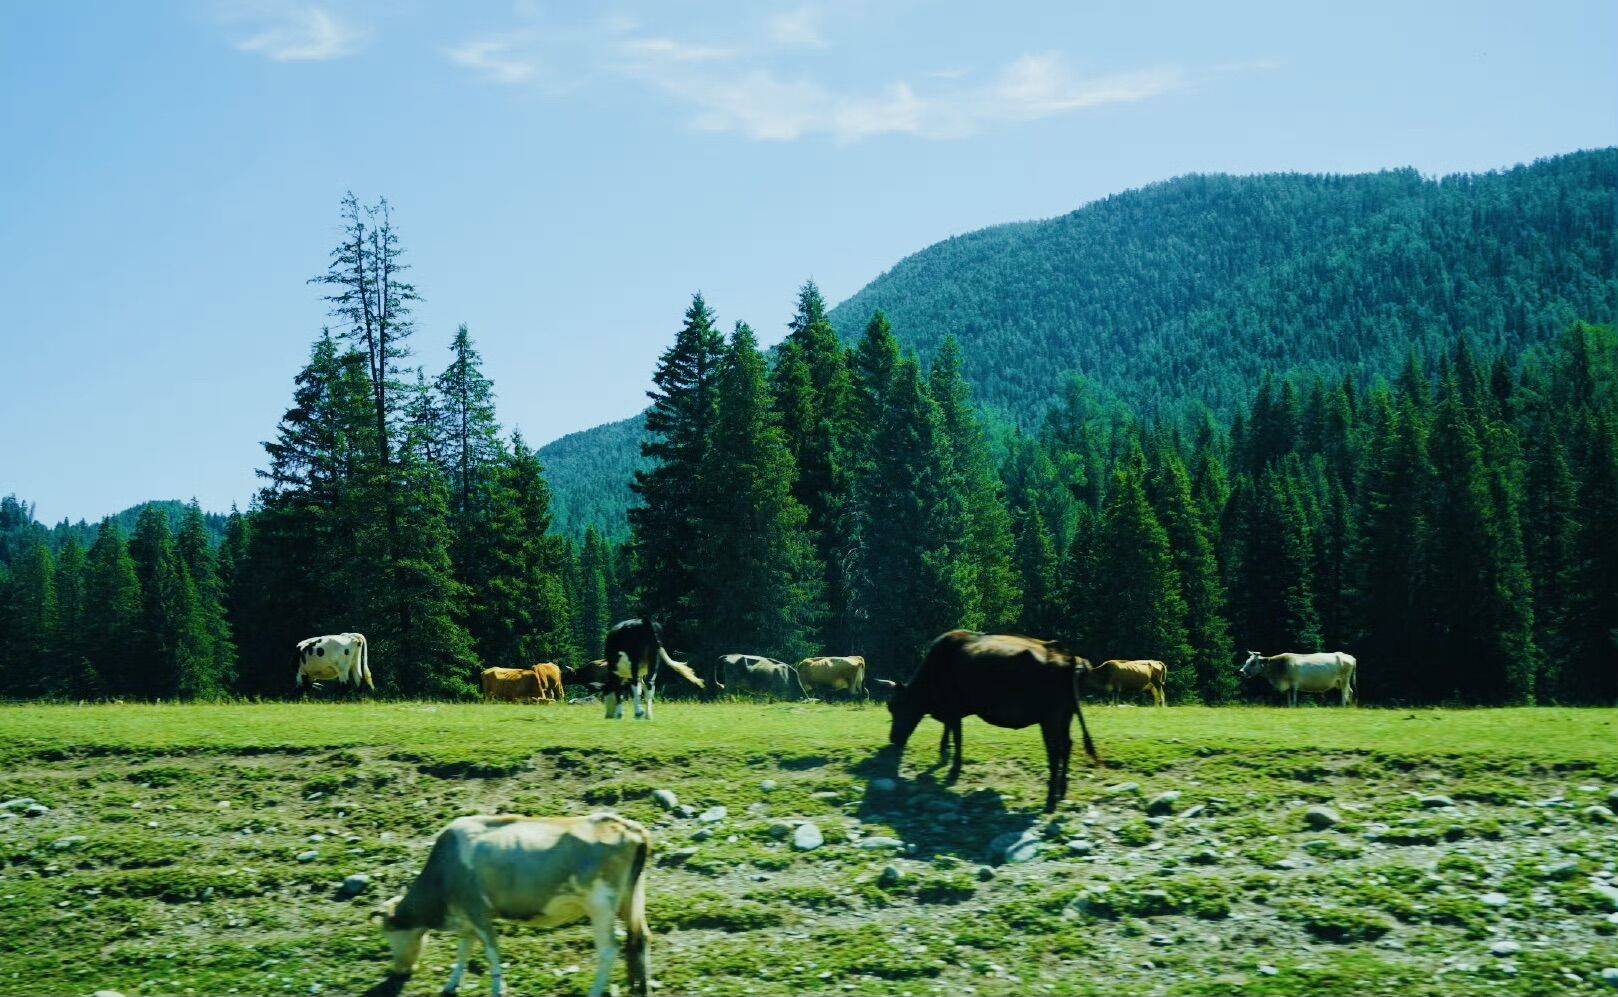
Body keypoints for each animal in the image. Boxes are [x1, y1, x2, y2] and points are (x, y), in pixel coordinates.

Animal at [378, 809, 650, 997]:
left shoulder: (478, 912)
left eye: (390, 937)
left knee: (609, 950)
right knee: (641, 939)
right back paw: (642, 987)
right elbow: (463, 951)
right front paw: (451, 984)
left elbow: (491, 952)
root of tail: (625, 826)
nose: (399, 971)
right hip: (631, 898)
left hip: (600, 905)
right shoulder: (467, 921)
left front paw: (498, 988)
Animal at [886, 634, 1100, 812]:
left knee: (1055, 753)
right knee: (1067, 746)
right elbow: (949, 731)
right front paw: (943, 750)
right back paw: (1061, 790)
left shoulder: (953, 709)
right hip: (1066, 715)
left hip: (1050, 719)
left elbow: (957, 737)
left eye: (895, 707)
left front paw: (954, 768)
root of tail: (1067, 655)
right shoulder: (951, 711)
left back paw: (1050, 800)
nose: (893, 739)